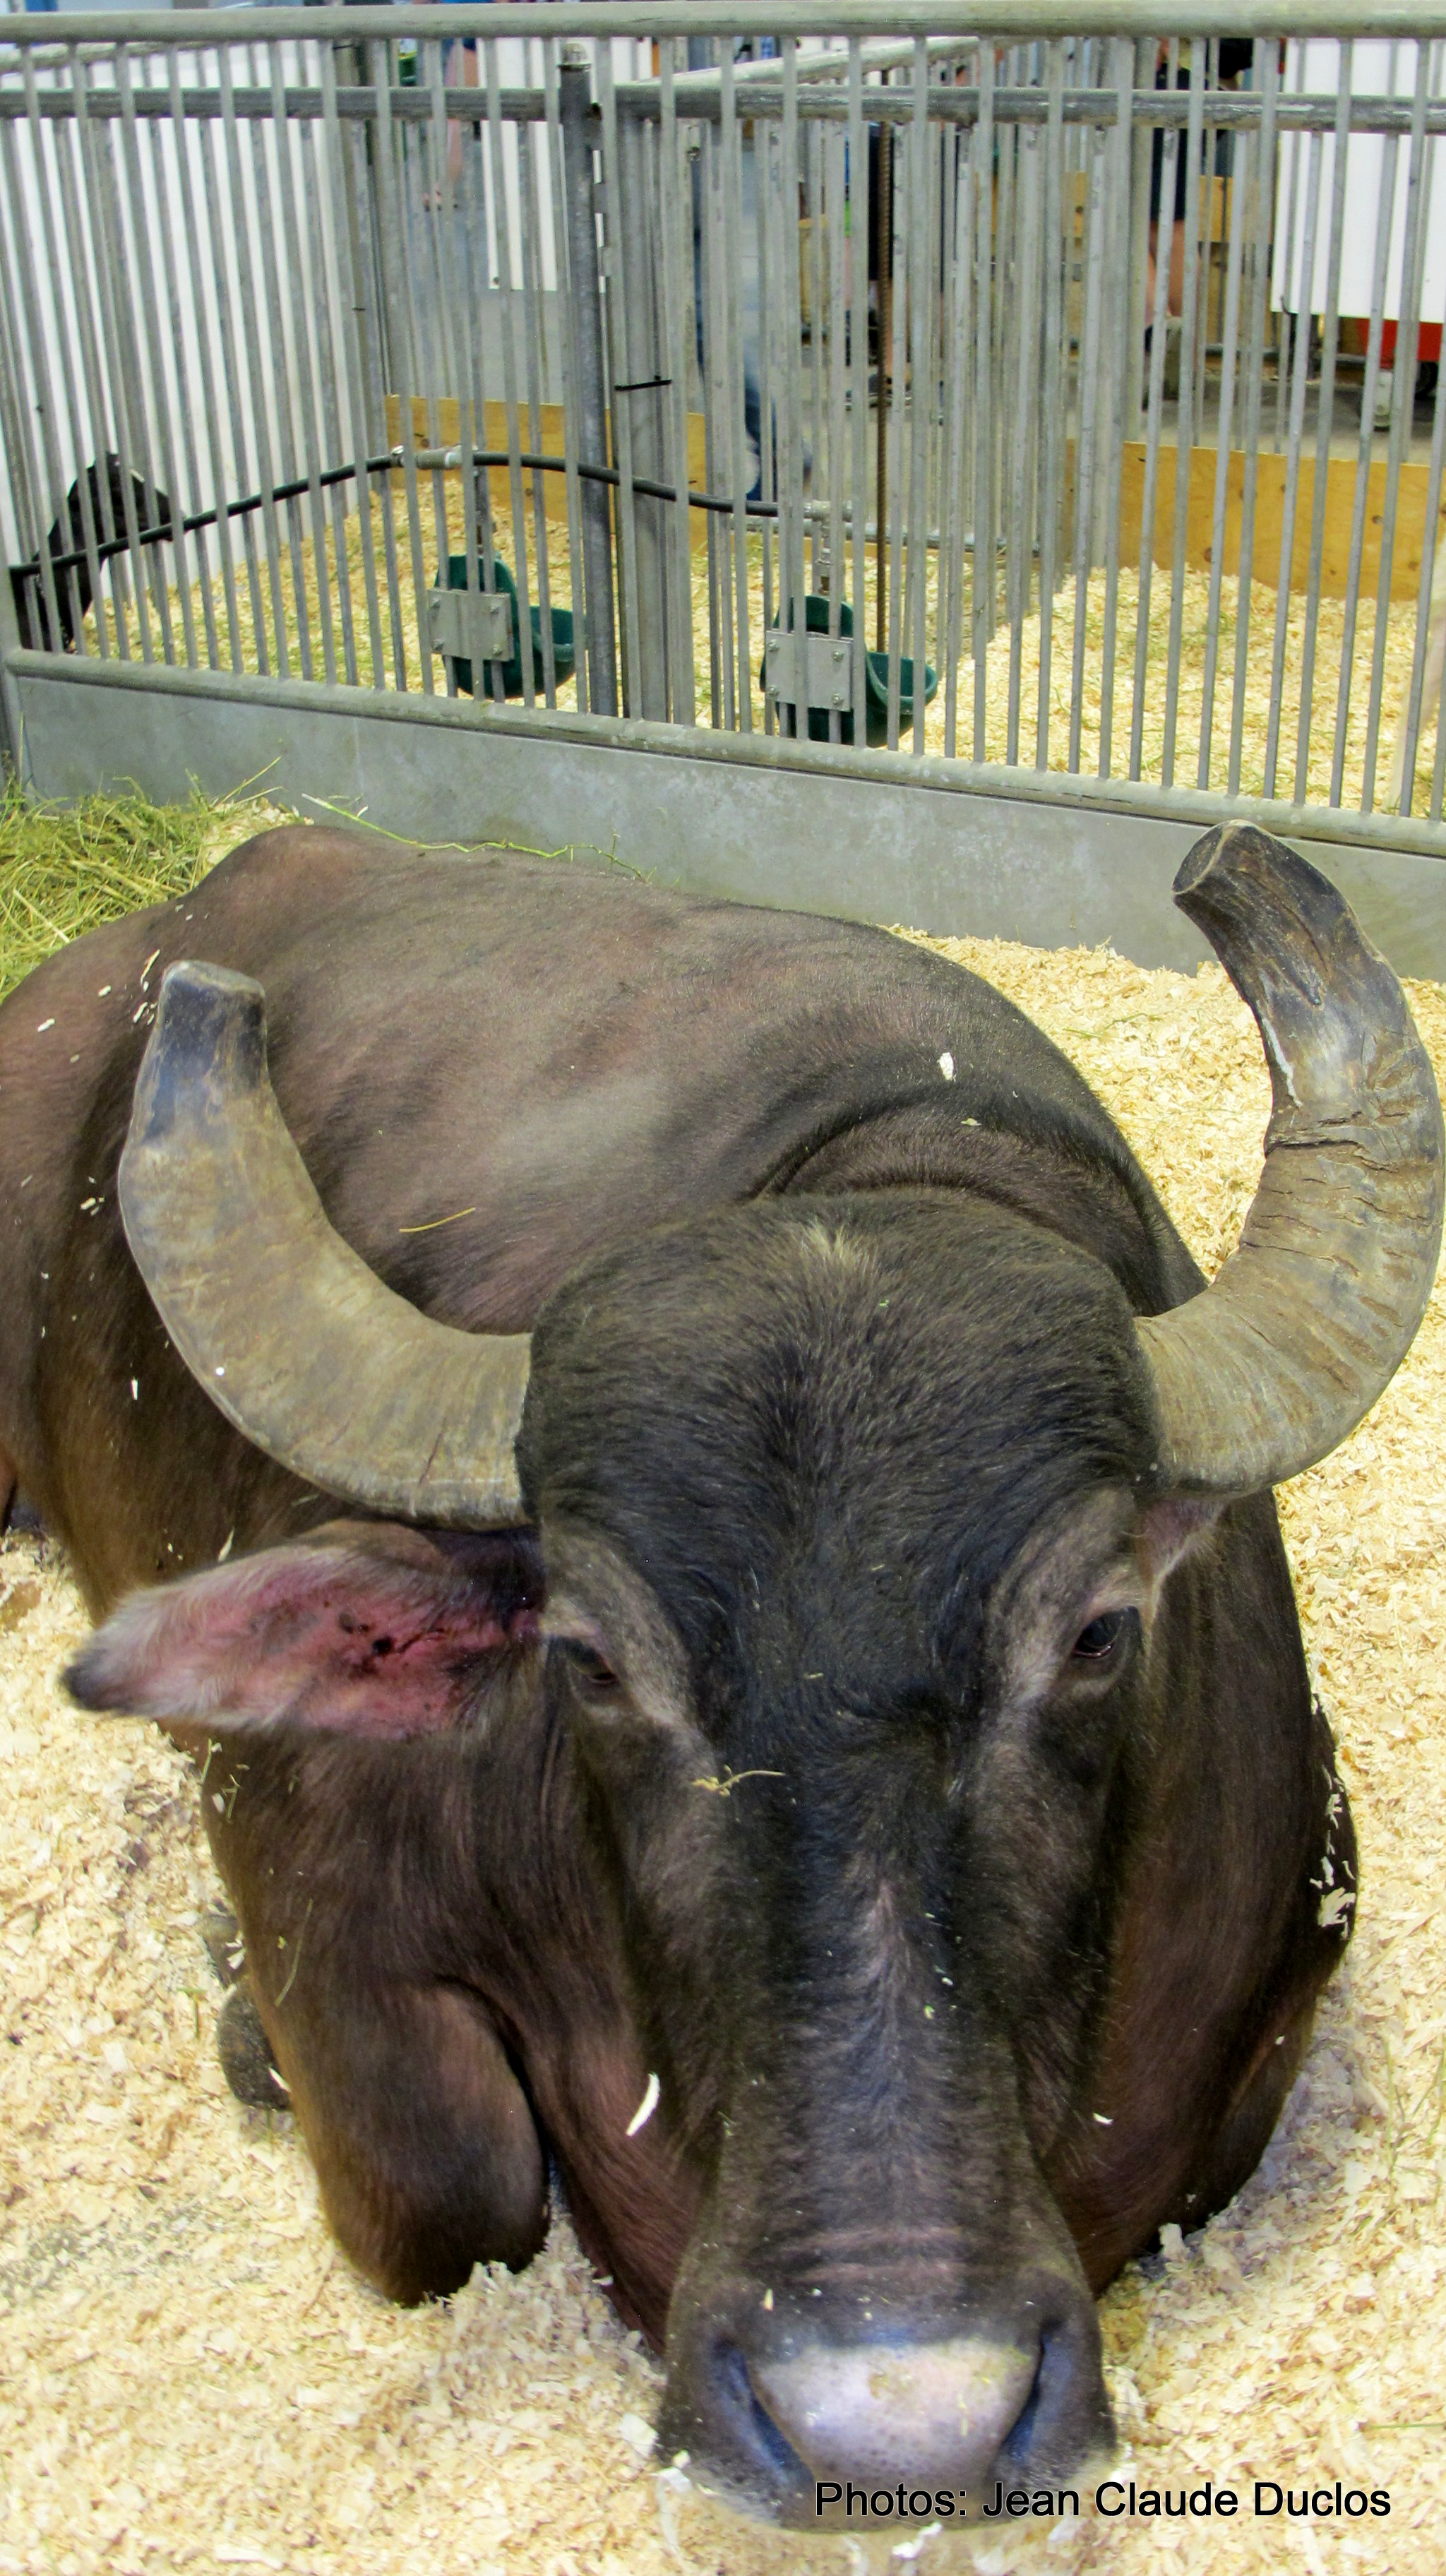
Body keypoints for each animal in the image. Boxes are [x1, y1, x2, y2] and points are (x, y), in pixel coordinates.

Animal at [0, 820, 1438, 2527]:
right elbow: (447, 2196)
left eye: (1097, 1633)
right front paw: (238, 2010)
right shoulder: (307, 1856)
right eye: (589, 1660)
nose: (893, 2421)